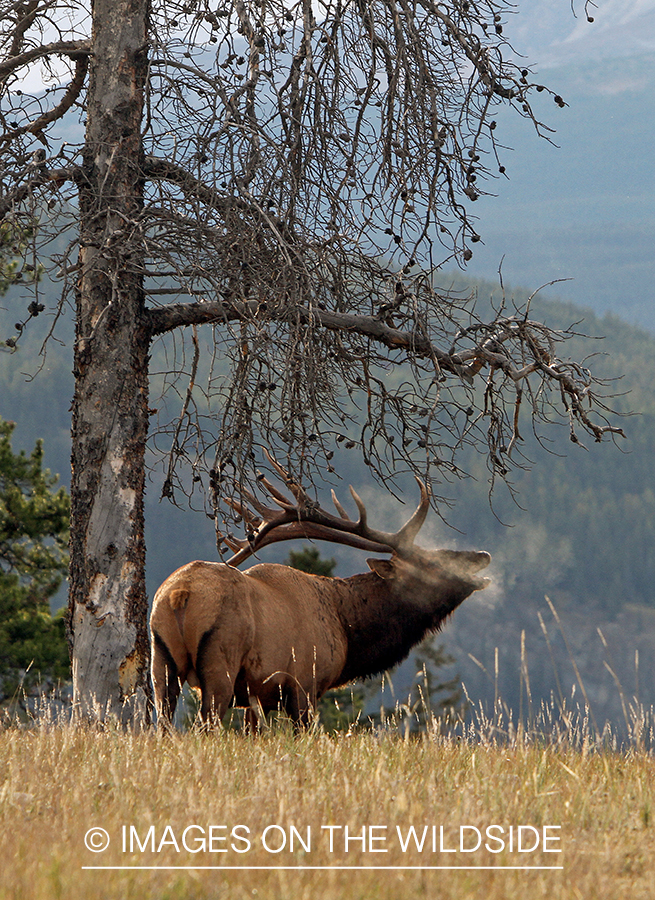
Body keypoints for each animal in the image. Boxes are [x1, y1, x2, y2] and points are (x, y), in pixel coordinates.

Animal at [151, 454, 490, 728]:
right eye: (433, 562)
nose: (482, 555)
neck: (346, 629)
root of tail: (180, 594)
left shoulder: (257, 696)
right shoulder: (304, 683)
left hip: (161, 661)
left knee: (163, 723)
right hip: (221, 660)